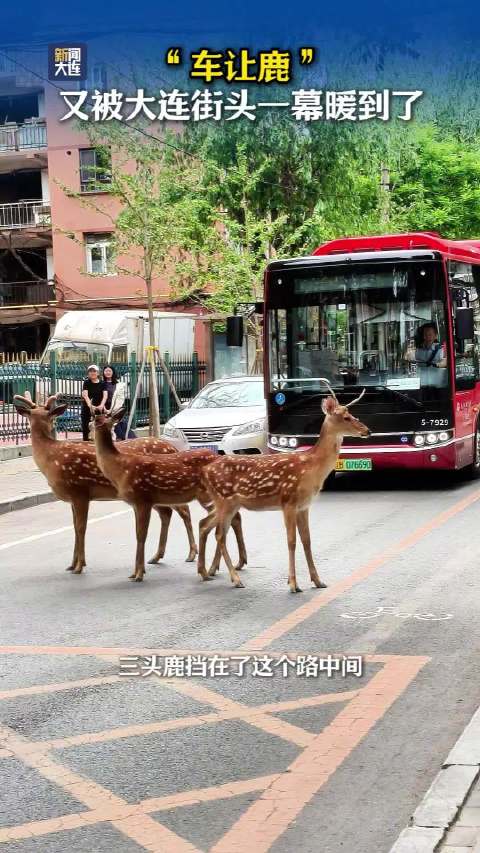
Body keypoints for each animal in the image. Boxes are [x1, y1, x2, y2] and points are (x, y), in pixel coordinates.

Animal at [13, 393, 198, 573]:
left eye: (51, 414)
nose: (55, 427)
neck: (51, 458)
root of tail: (172, 447)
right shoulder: (73, 498)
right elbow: (74, 527)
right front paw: (72, 564)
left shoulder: (80, 490)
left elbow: (80, 527)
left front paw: (79, 565)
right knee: (167, 513)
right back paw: (156, 556)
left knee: (184, 511)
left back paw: (191, 554)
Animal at [93, 407, 247, 583]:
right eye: (95, 415)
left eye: (100, 418)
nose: (94, 423)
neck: (120, 469)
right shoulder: (135, 503)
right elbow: (138, 534)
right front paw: (135, 572)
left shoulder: (142, 499)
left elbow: (141, 535)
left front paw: (138, 573)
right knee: (233, 519)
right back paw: (232, 564)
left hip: (208, 496)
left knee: (230, 519)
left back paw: (218, 567)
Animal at [198, 384, 370, 593]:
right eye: (346, 417)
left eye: (351, 414)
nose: (367, 430)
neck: (311, 467)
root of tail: (205, 470)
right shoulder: (288, 501)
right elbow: (291, 541)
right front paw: (293, 583)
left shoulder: (304, 506)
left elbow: (307, 540)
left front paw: (317, 580)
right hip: (225, 499)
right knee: (219, 534)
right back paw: (235, 579)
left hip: (228, 503)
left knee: (205, 525)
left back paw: (205, 572)